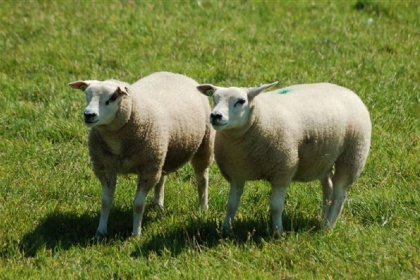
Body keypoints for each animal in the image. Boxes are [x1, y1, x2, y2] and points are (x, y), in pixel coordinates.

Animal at [69, 71, 213, 236]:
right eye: (87, 95)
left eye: (112, 98)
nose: (89, 115)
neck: (116, 140)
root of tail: (175, 73)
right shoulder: (105, 167)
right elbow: (105, 202)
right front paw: (100, 232)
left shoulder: (147, 170)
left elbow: (138, 205)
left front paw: (136, 234)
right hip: (161, 152)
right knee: (161, 179)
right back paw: (158, 205)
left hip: (203, 144)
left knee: (202, 178)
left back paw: (203, 207)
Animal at [197, 81, 370, 234]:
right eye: (214, 98)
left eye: (241, 101)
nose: (215, 116)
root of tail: (346, 90)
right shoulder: (236, 172)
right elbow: (231, 205)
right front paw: (226, 229)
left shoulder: (283, 171)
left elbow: (276, 207)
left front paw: (278, 232)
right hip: (323, 159)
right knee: (328, 188)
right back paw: (323, 220)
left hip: (352, 156)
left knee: (339, 194)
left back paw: (327, 228)